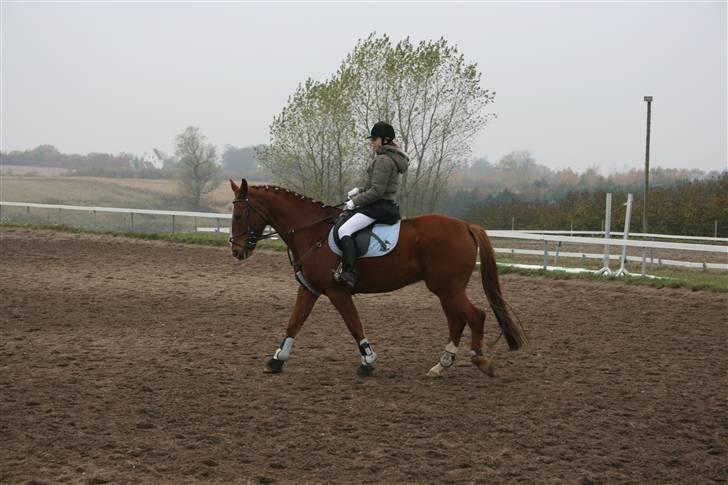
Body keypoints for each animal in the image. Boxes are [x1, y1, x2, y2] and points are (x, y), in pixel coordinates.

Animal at [229, 180, 524, 376]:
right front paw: (277, 360)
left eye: (239, 214)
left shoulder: (337, 292)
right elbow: (294, 322)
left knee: (475, 316)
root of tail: (465, 225)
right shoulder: (309, 289)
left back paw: (480, 361)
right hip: (445, 289)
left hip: (448, 288)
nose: (236, 250)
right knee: (457, 319)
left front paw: (368, 361)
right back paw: (442, 364)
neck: (311, 232)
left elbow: (354, 325)